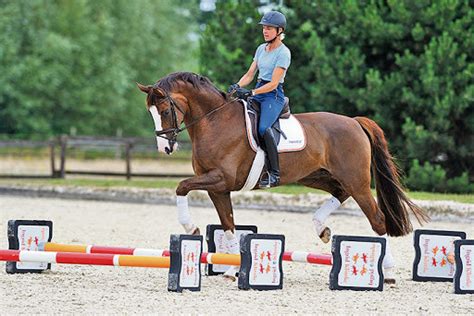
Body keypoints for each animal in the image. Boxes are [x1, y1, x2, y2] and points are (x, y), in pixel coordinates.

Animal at [138, 71, 430, 282]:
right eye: (150, 113)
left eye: (165, 111)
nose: (165, 148)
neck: (215, 122)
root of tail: (355, 122)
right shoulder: (218, 188)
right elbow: (228, 225)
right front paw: (231, 270)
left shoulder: (220, 179)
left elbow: (181, 186)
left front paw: (191, 228)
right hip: (317, 176)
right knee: (340, 193)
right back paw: (322, 228)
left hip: (355, 180)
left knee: (377, 220)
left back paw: (387, 272)